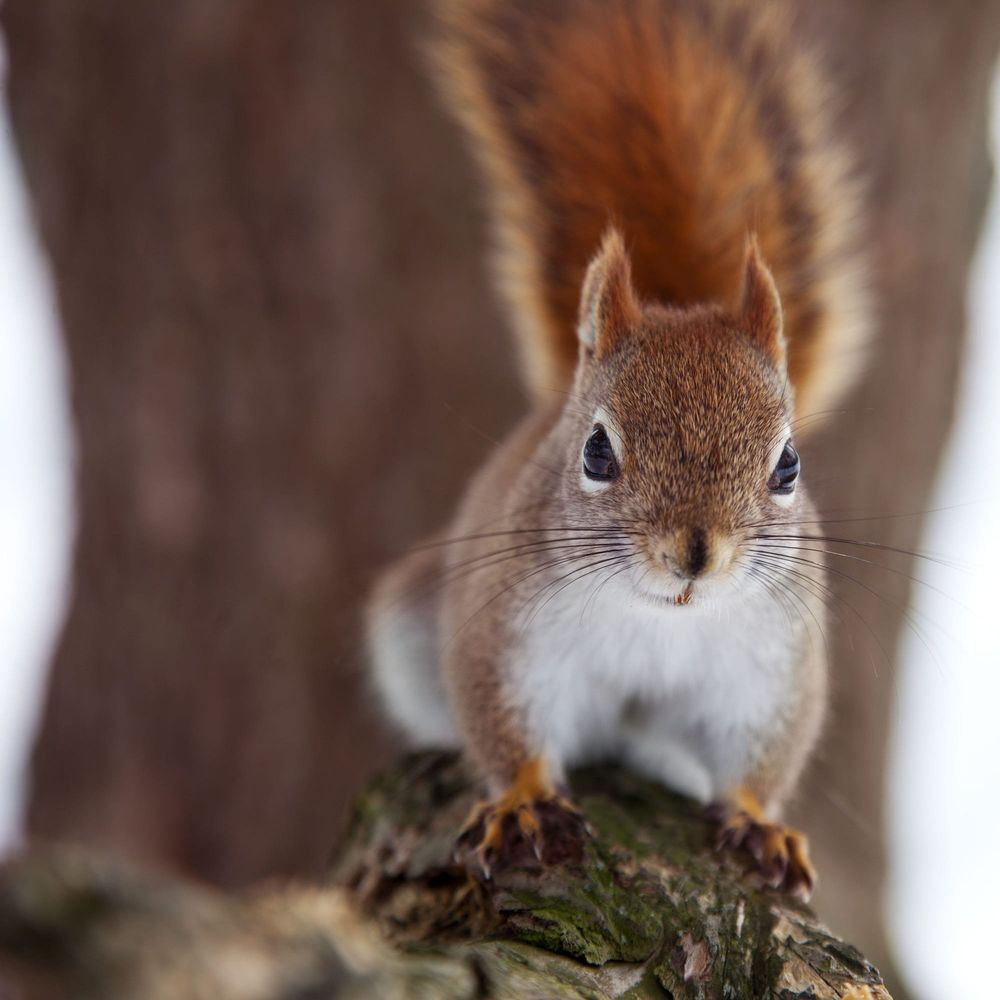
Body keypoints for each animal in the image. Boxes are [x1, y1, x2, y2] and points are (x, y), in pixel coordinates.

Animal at [366, 0, 868, 900]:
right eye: (596, 454)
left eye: (789, 466)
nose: (696, 554)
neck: (659, 621)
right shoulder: (506, 630)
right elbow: (506, 727)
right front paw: (524, 804)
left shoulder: (771, 667)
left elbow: (760, 757)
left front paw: (760, 824)